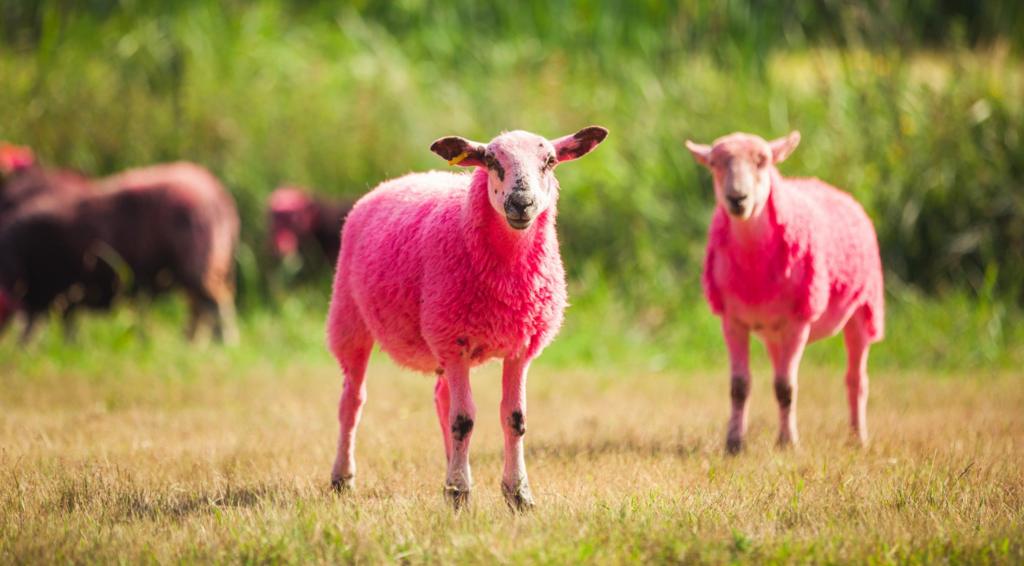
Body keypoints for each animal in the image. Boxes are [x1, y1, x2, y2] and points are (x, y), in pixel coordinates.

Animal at [327, 125, 606, 509]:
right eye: (490, 161)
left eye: (549, 161)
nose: (521, 203)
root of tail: (398, 180)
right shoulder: (454, 339)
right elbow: (464, 420)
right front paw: (460, 494)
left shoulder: (520, 347)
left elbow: (514, 419)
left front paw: (517, 495)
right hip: (351, 319)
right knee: (351, 402)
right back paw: (343, 477)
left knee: (441, 399)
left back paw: (449, 467)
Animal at [684, 129, 884, 452]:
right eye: (714, 164)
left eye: (762, 161)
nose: (737, 198)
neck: (754, 265)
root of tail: (826, 184)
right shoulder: (732, 320)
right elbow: (740, 386)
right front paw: (734, 443)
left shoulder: (798, 320)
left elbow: (786, 387)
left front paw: (789, 444)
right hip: (772, 333)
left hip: (864, 308)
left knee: (856, 379)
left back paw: (858, 438)